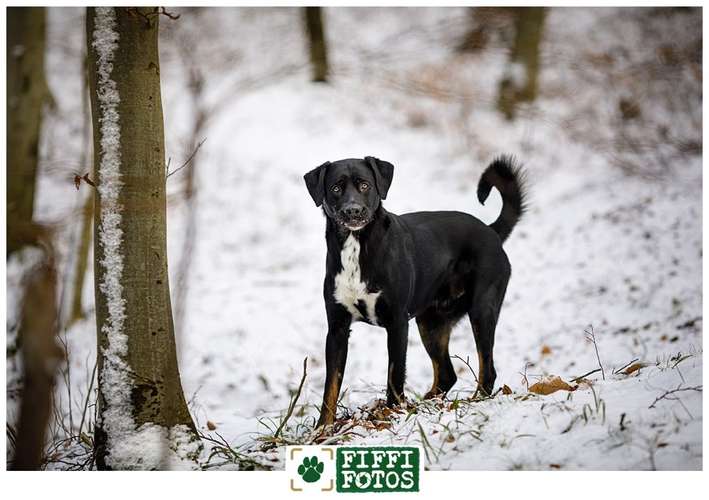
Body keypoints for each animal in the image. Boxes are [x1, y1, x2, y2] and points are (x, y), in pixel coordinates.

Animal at [304, 155, 524, 426]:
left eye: (365, 185)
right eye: (336, 188)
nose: (352, 210)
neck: (356, 248)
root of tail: (491, 230)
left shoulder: (398, 323)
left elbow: (395, 374)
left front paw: (391, 414)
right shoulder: (337, 329)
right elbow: (331, 386)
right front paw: (323, 428)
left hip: (482, 310)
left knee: (487, 369)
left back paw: (473, 401)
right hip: (431, 323)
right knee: (447, 374)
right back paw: (425, 404)